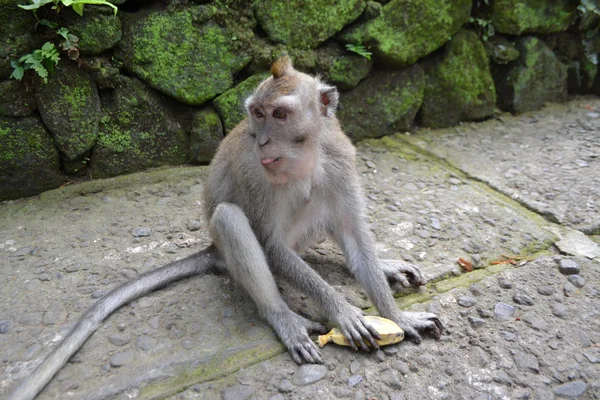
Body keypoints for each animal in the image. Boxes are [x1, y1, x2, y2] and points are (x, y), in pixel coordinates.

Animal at [7, 57, 442, 400]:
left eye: (279, 115)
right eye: (257, 113)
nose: (262, 141)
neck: (304, 158)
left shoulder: (340, 160)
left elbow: (353, 231)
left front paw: (396, 316)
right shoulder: (256, 175)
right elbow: (271, 247)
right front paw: (343, 310)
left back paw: (383, 267)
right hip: (229, 246)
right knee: (230, 219)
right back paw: (283, 318)